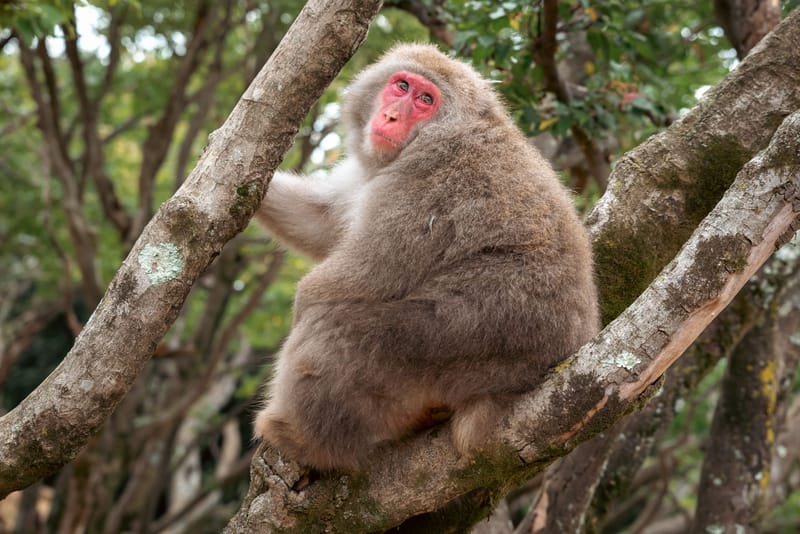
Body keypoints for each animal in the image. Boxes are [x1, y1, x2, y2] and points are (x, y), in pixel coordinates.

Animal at [253, 44, 599, 472]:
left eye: (425, 100)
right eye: (401, 86)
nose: (391, 116)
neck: (435, 134)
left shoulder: (422, 184)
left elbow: (365, 277)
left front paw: (305, 302)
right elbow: (322, 219)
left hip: (469, 344)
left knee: (337, 329)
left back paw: (299, 438)